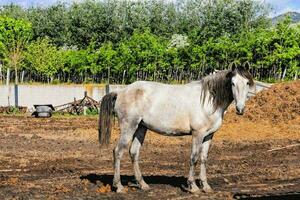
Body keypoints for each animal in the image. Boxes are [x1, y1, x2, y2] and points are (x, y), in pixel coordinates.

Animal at [98, 63, 253, 194]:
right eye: (232, 83)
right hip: (129, 127)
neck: (209, 100)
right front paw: (193, 187)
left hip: (141, 128)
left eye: (247, 83)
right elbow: (194, 157)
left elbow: (204, 158)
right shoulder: (197, 134)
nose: (240, 109)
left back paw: (143, 184)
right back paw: (119, 186)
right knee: (118, 152)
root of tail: (121, 92)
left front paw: (206, 186)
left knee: (134, 153)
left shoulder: (209, 135)